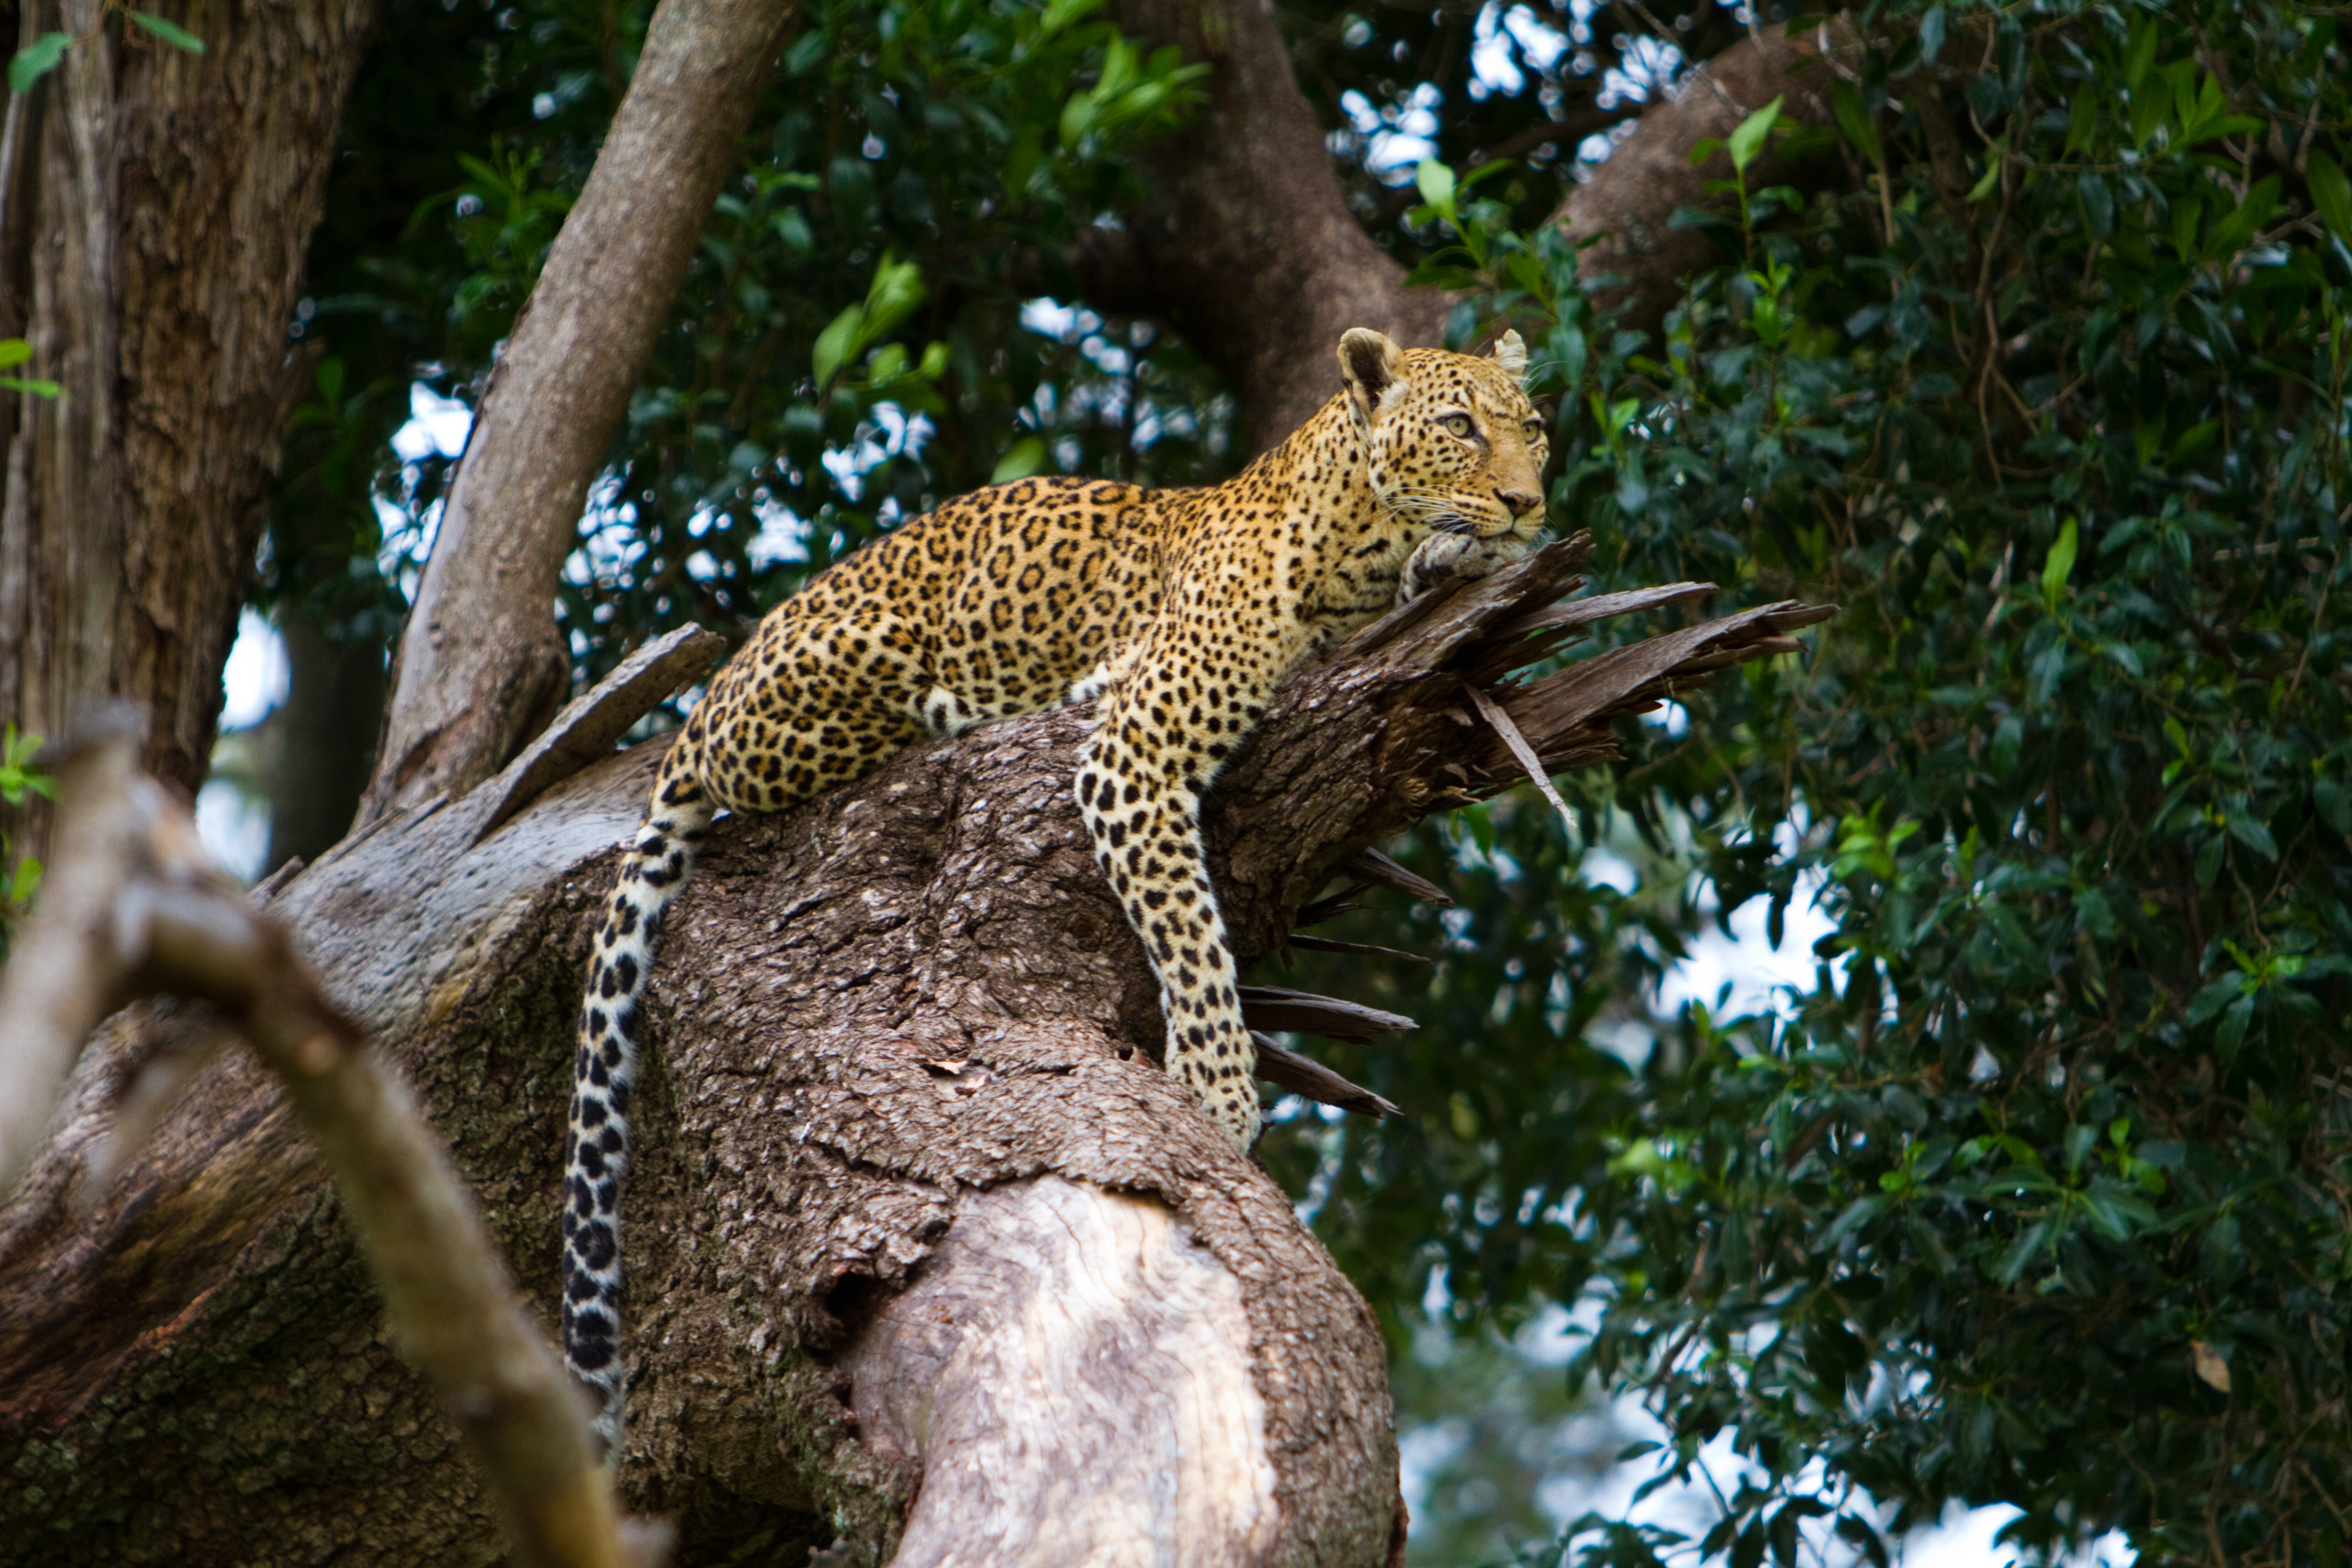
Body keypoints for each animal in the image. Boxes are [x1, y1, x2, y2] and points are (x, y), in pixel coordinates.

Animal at [562, 326, 1549, 1447]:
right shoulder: (1134, 755)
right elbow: (1191, 938)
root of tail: (700, 705)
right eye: (1458, 426)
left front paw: (1466, 554)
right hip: (848, 668)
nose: (1527, 502)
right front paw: (1219, 1095)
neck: (1359, 538)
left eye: (1532, 428)